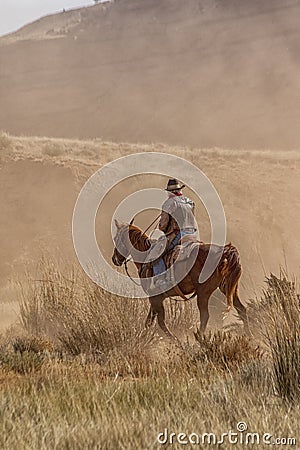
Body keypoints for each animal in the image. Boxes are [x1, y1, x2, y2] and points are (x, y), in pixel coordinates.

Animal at [111, 220, 250, 340]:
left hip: (203, 293)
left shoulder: (155, 298)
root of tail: (225, 252)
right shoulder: (155, 297)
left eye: (117, 239)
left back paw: (199, 339)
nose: (114, 259)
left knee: (205, 316)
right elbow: (150, 321)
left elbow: (160, 321)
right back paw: (249, 335)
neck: (146, 256)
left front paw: (175, 340)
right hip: (229, 289)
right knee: (242, 310)